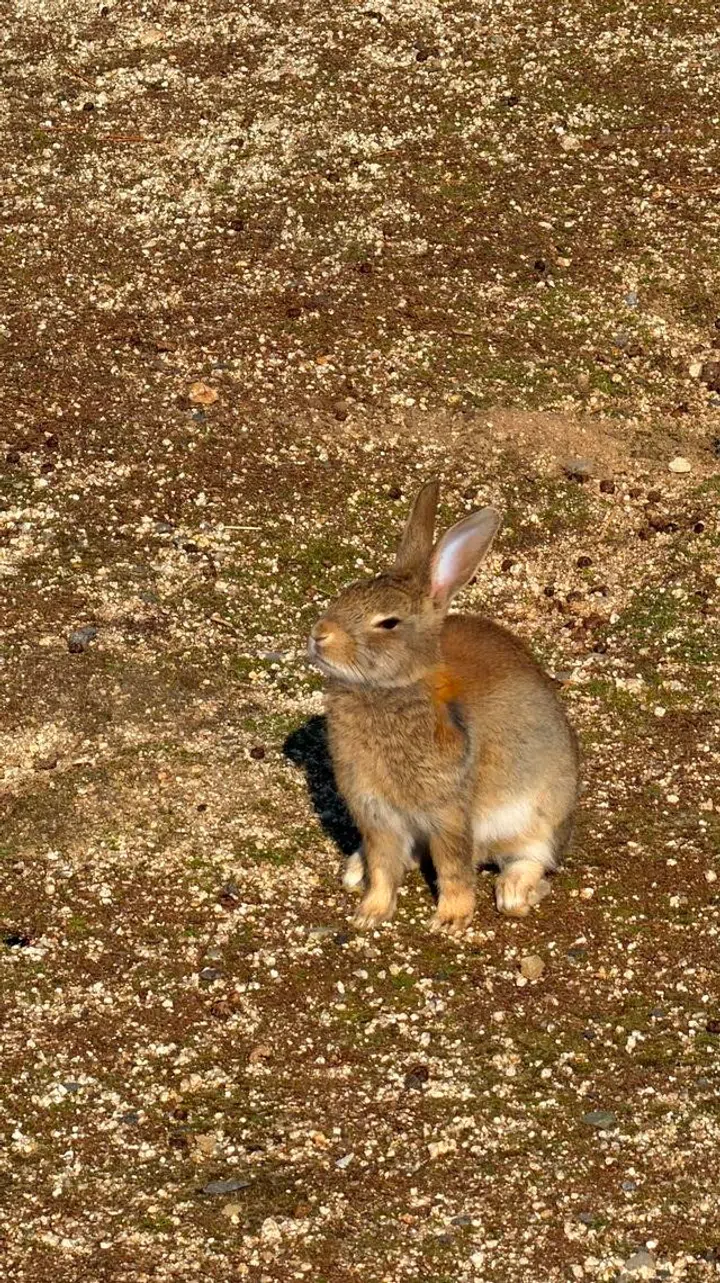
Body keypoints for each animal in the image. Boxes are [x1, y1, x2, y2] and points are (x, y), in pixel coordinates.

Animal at [308, 479, 579, 935]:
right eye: (346, 593)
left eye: (388, 623)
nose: (319, 635)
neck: (394, 688)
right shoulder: (376, 812)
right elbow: (383, 867)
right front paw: (370, 914)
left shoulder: (449, 810)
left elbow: (453, 867)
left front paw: (451, 919)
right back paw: (354, 869)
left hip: (539, 812)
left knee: (531, 857)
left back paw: (512, 893)